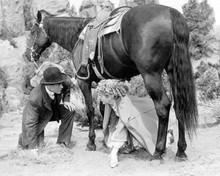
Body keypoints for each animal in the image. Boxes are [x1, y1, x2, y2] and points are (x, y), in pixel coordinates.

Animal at [24, 4, 199, 161]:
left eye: (32, 32)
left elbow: (90, 110)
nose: (27, 54)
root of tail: (170, 13)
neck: (77, 35)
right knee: (179, 107)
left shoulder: (83, 81)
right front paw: (113, 142)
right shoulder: (106, 81)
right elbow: (105, 110)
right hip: (172, 72)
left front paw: (91, 143)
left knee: (163, 106)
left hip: (151, 75)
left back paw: (158, 151)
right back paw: (181, 151)